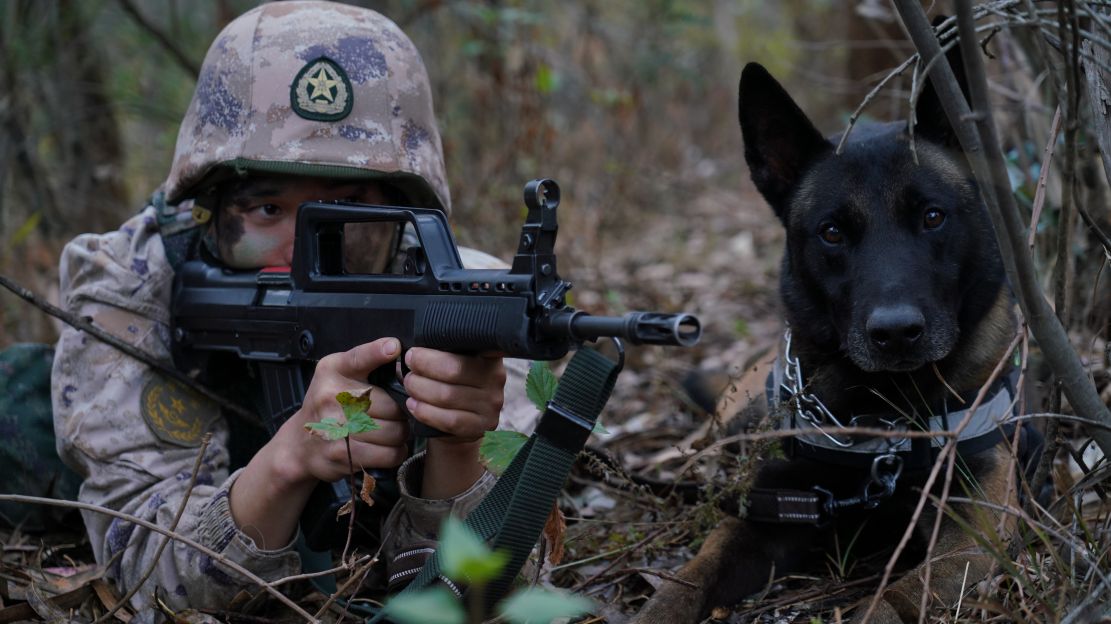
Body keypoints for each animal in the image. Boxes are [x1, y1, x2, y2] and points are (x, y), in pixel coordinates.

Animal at [635, 59, 1039, 621]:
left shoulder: (975, 536)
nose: (896, 333)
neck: (883, 415)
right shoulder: (769, 518)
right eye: (832, 232)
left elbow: (894, 597)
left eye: (932, 216)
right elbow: (689, 579)